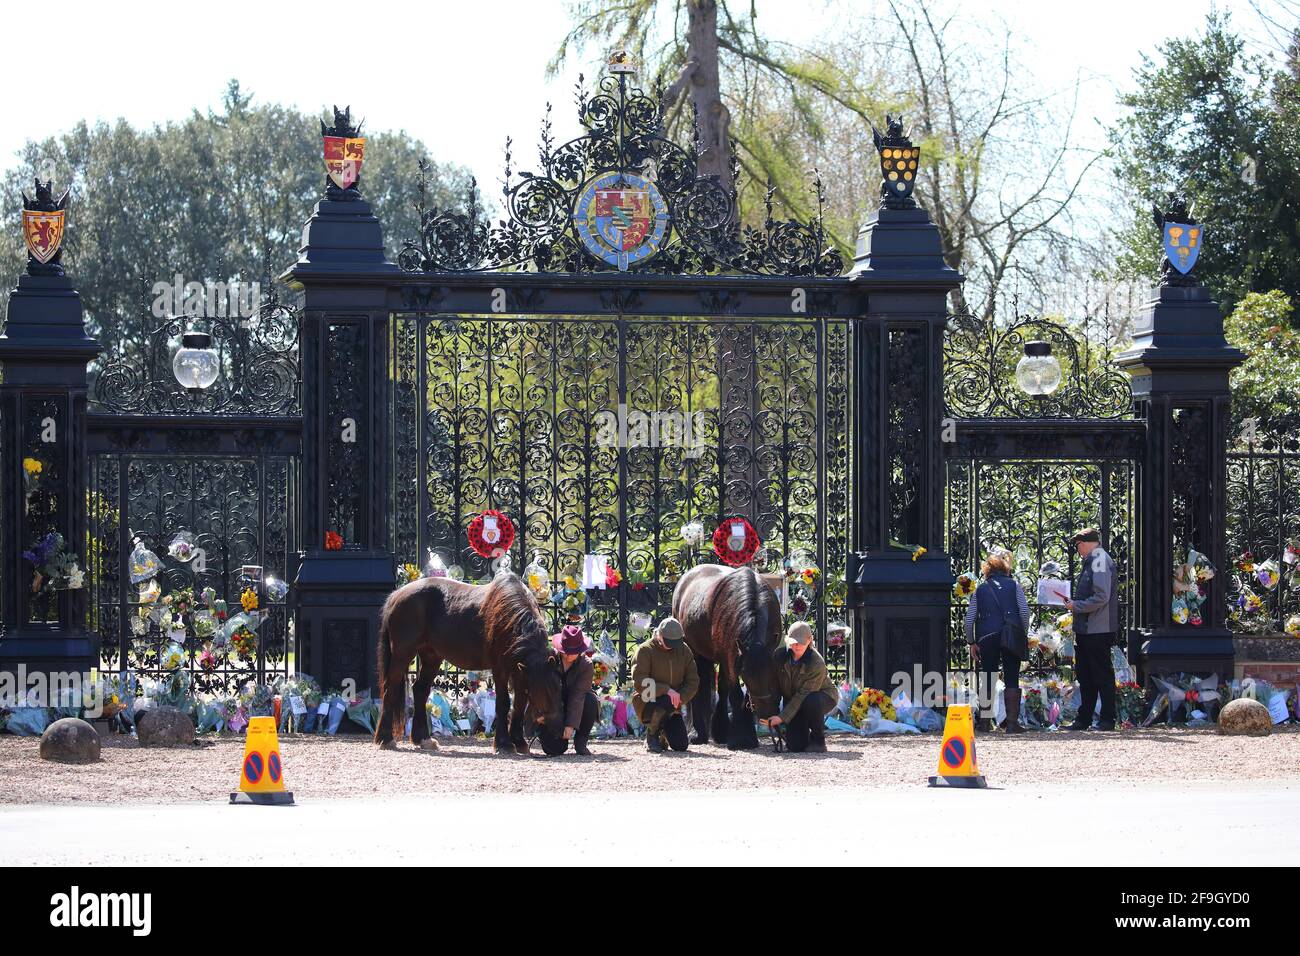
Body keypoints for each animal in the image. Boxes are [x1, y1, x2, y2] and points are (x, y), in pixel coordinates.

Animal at [371, 567, 564, 754]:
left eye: (558, 689)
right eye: (547, 692)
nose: (558, 737)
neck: (508, 616)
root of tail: (396, 595)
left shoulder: (520, 671)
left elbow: (519, 703)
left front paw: (519, 742)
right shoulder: (501, 668)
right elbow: (503, 702)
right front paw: (504, 744)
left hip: (431, 656)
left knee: (420, 690)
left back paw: (423, 739)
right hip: (403, 653)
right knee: (390, 689)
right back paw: (385, 739)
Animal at [670, 564, 780, 749]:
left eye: (774, 674)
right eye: (746, 676)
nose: (766, 713)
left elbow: (734, 692)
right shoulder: (732, 659)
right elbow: (736, 694)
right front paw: (742, 739)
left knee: (719, 688)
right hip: (696, 653)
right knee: (699, 689)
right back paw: (697, 733)